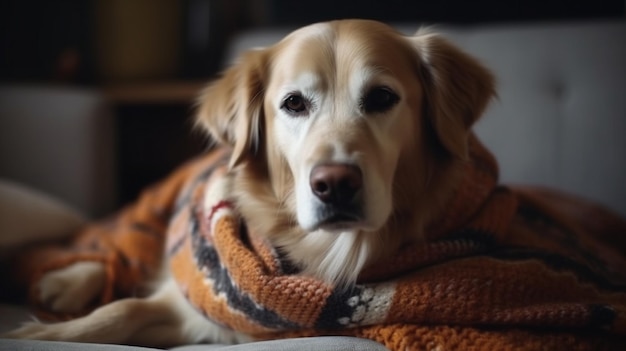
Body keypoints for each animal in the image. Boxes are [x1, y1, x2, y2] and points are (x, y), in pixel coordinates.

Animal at [4, 20, 492, 348]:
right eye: (294, 103)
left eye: (382, 98)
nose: (334, 184)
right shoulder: (199, 300)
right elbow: (121, 307)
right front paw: (42, 333)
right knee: (116, 246)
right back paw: (66, 281)